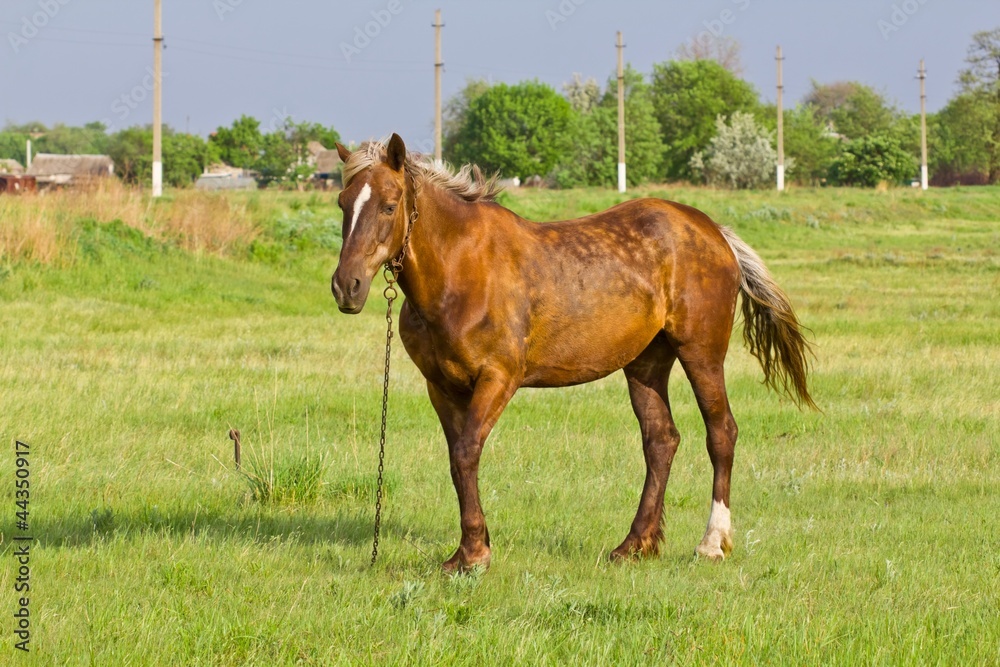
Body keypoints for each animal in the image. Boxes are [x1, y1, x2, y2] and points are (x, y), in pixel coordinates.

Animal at [331, 134, 815, 573]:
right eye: (343, 203)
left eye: (389, 205)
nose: (346, 286)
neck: (461, 268)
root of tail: (714, 231)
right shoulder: (442, 387)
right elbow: (457, 459)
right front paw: (472, 546)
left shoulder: (498, 378)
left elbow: (467, 453)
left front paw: (473, 555)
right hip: (645, 364)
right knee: (661, 440)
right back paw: (634, 545)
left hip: (701, 352)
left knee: (721, 433)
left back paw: (711, 544)